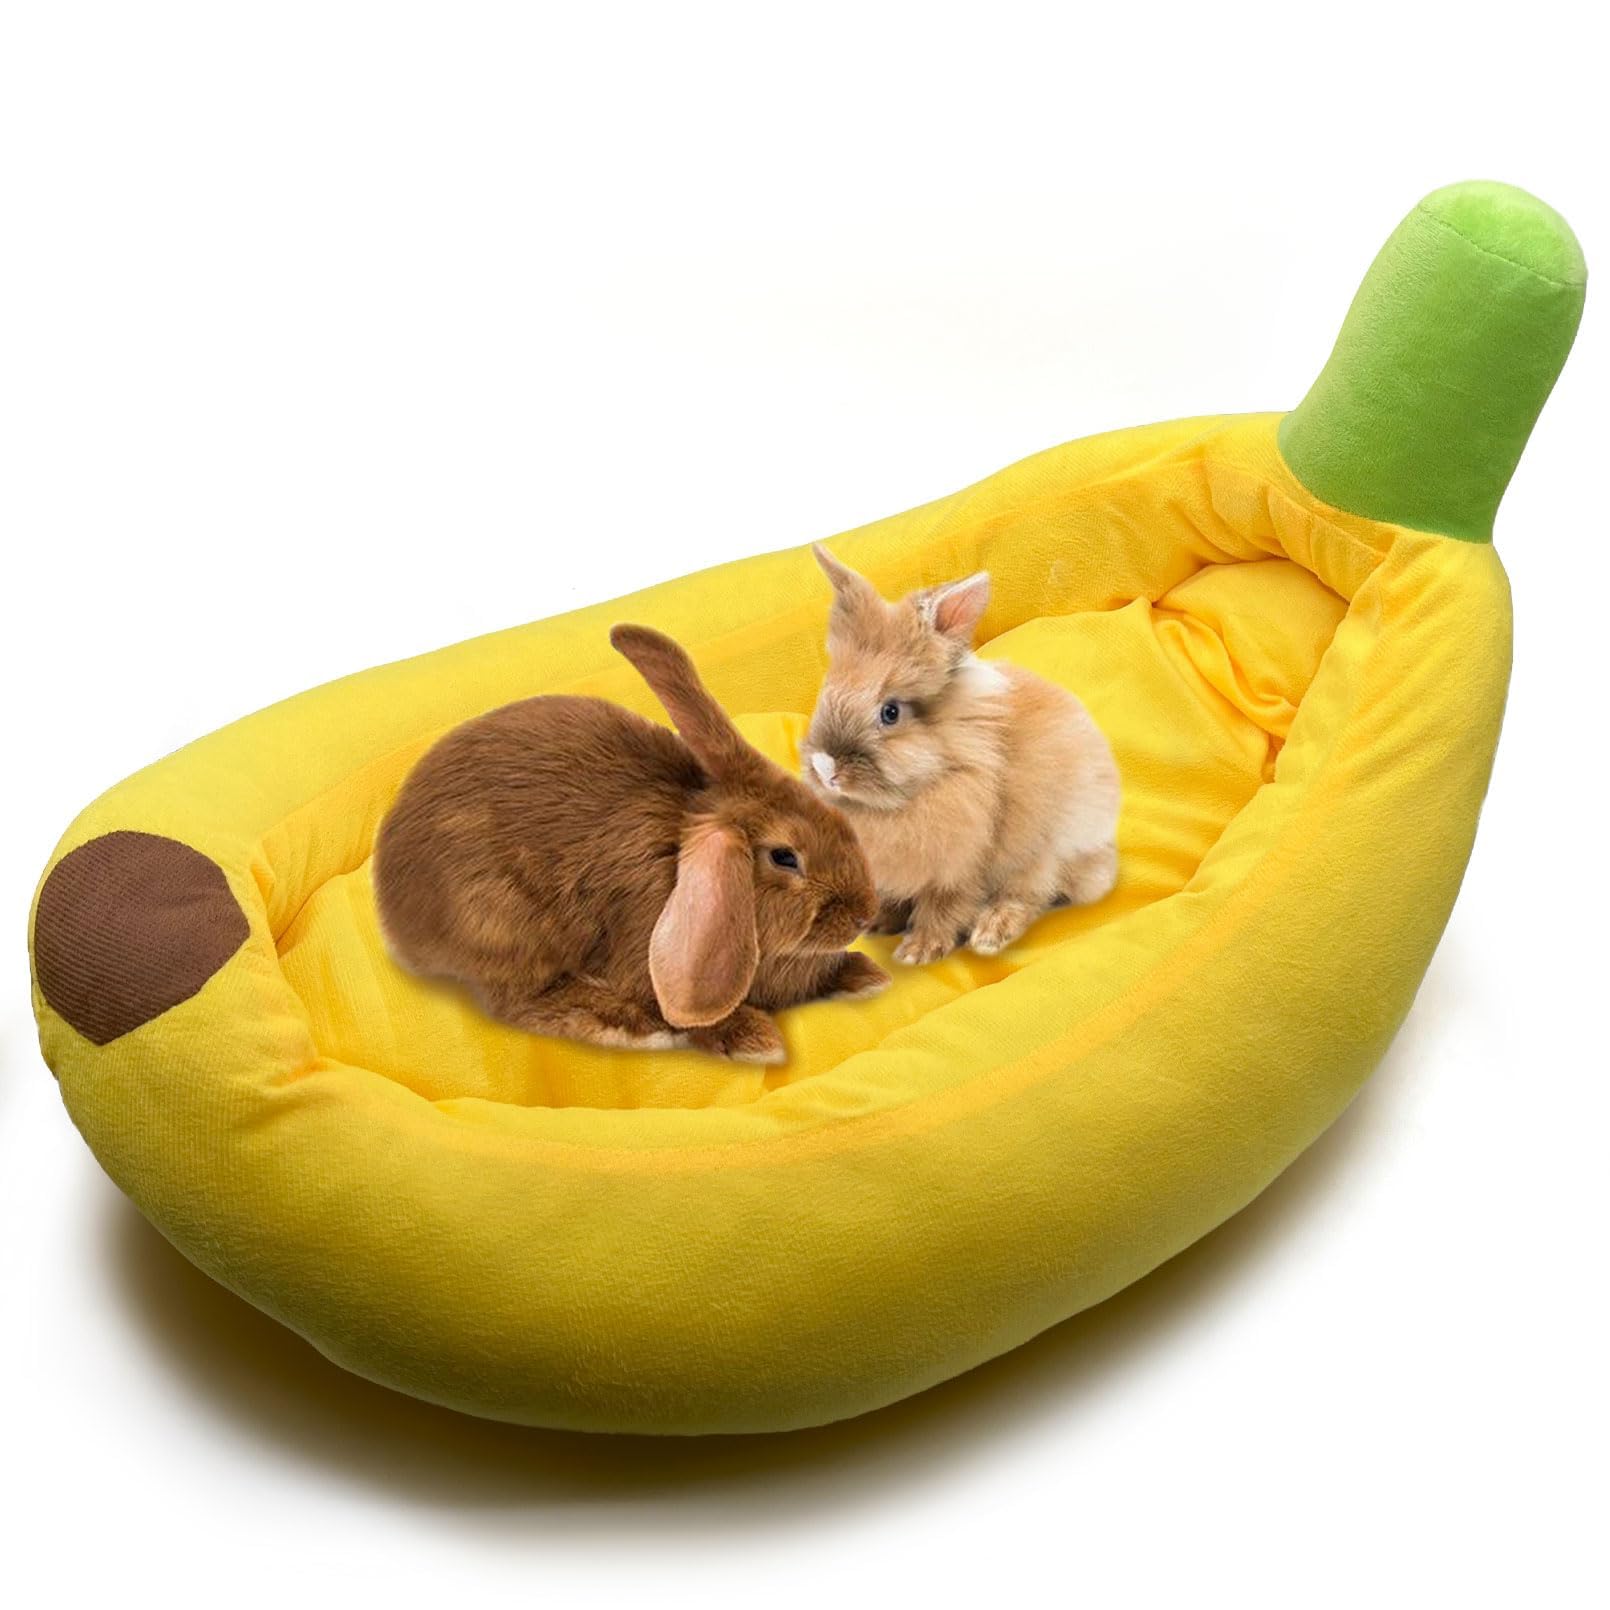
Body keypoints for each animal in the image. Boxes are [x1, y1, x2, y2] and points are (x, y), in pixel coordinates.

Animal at [374, 624, 887, 1065]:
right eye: (784, 857)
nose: (864, 914)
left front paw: (864, 976)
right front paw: (751, 1039)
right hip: (505, 923)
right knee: (521, 1002)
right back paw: (634, 1025)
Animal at [801, 545, 1119, 965]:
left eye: (890, 712)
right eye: (826, 690)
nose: (825, 768)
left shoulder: (962, 865)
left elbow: (944, 908)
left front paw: (917, 952)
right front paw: (879, 922)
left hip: (1045, 855)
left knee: (1030, 896)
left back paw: (990, 935)